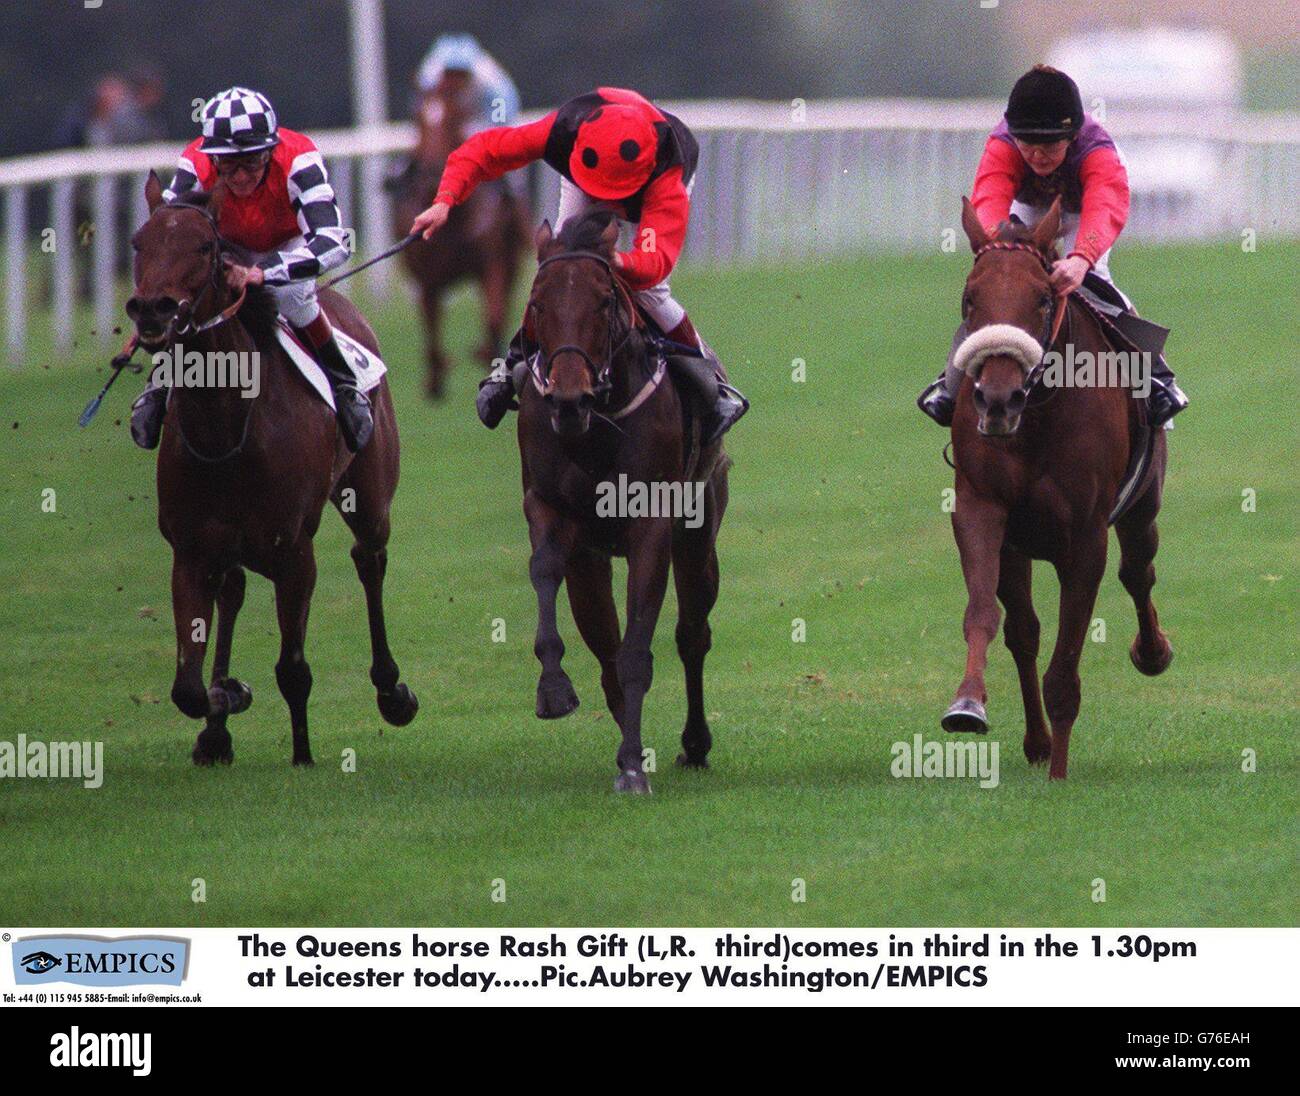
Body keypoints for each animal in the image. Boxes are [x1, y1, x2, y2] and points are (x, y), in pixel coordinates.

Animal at [126, 175, 416, 769]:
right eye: (140, 243)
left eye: (204, 246)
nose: (152, 310)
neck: (226, 425)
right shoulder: (191, 551)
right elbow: (187, 686)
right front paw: (225, 699)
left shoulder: (293, 551)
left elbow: (293, 669)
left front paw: (302, 753)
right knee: (233, 591)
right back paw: (217, 729)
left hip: (370, 495)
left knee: (369, 560)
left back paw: (391, 690)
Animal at [387, 81, 525, 400]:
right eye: (418, 118)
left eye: (454, 117)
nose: (430, 170)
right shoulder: (427, 277)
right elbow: (431, 324)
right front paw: (435, 379)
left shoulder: (492, 263)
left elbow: (494, 316)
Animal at [514, 211, 728, 795]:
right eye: (537, 302)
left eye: (604, 300)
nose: (569, 399)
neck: (596, 426)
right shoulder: (549, 507)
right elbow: (545, 570)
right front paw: (554, 689)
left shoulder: (651, 524)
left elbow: (638, 650)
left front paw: (633, 766)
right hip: (591, 561)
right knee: (603, 642)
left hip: (699, 530)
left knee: (692, 635)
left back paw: (692, 744)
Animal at [941, 197, 1175, 780]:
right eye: (969, 298)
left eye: (1043, 298)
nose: (997, 399)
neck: (1037, 418)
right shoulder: (981, 508)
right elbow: (985, 615)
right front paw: (967, 704)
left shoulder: (1085, 537)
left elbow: (1066, 666)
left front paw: (1061, 776)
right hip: (1019, 545)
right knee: (1023, 631)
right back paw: (1036, 742)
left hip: (1143, 505)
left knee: (1138, 573)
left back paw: (1153, 652)